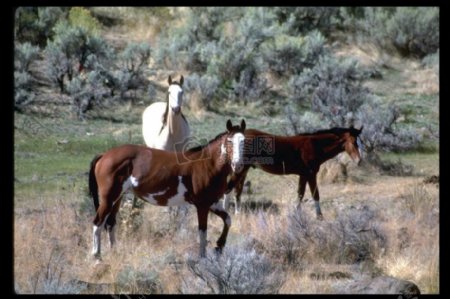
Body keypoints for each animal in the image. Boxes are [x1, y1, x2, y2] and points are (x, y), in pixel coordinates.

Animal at [88, 119, 246, 260]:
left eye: (243, 141)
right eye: (229, 141)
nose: (238, 165)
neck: (207, 165)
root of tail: (104, 155)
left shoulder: (212, 203)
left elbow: (228, 220)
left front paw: (219, 246)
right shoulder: (202, 205)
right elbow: (202, 232)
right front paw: (203, 258)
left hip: (118, 198)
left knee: (110, 223)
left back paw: (114, 252)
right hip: (108, 198)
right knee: (98, 223)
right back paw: (97, 256)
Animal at [223, 125, 364, 219]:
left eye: (360, 142)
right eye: (353, 142)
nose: (359, 161)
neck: (314, 145)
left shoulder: (303, 175)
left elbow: (300, 194)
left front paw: (298, 213)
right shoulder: (311, 174)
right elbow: (315, 194)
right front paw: (319, 216)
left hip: (242, 169)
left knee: (237, 191)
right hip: (240, 169)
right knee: (230, 189)